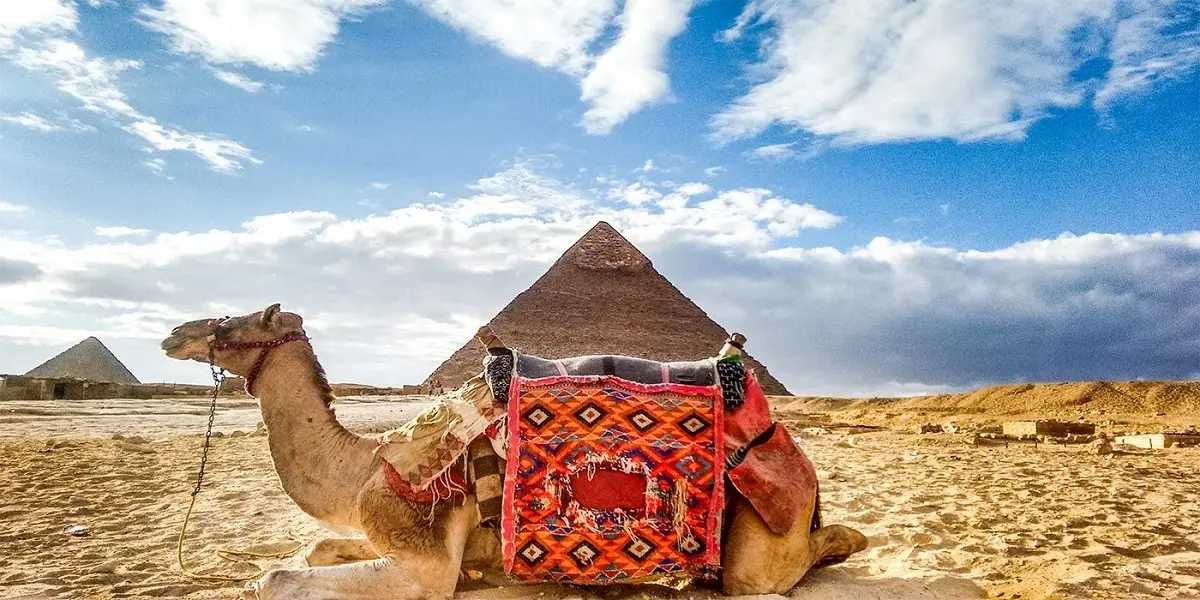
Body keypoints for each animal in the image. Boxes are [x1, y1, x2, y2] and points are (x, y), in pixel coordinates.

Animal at [161, 304, 867, 600]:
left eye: (234, 321)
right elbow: (311, 551)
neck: (365, 466)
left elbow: (277, 579)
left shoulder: (424, 565)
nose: (173, 334)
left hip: (762, 544)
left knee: (775, 572)